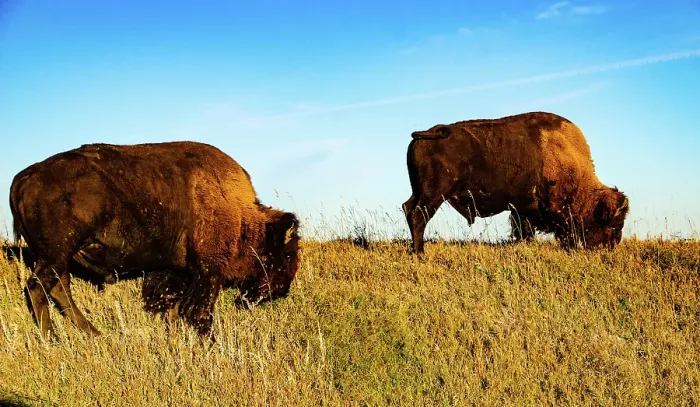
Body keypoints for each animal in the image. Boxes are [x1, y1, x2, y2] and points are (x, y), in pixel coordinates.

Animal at [10, 141, 300, 338]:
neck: (238, 210)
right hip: (56, 254)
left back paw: (92, 333)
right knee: (38, 287)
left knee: (60, 288)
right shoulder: (209, 272)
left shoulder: (178, 271)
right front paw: (207, 341)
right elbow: (199, 311)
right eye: (287, 255)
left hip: (58, 258)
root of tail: (25, 176)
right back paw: (52, 339)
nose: (281, 291)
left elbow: (171, 306)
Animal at [402, 111, 629, 254]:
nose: (611, 245)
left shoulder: (521, 209)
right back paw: (420, 252)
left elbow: (524, 231)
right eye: (613, 223)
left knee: (408, 208)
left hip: (419, 191)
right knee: (418, 216)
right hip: (434, 194)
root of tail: (429, 132)